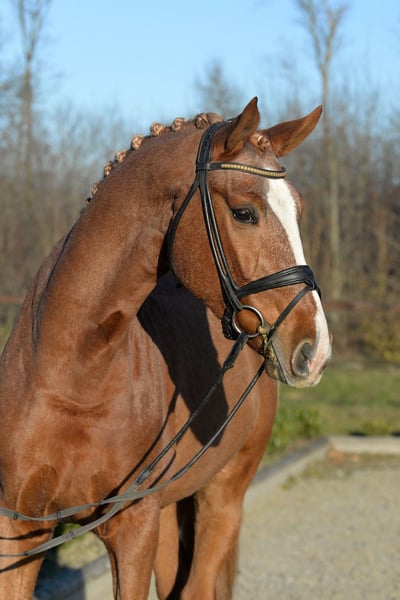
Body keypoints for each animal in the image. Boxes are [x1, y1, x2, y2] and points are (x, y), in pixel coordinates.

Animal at [0, 97, 331, 599]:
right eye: (245, 213)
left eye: (298, 209)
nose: (315, 350)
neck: (71, 374)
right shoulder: (21, 533)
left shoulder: (133, 528)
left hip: (224, 495)